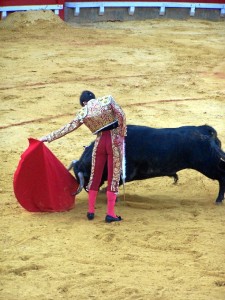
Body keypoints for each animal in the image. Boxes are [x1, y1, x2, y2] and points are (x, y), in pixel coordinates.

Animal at [69, 123, 225, 203]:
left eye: (84, 176)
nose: (87, 189)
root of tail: (205, 130)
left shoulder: (125, 174)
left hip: (208, 165)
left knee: (222, 177)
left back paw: (218, 200)